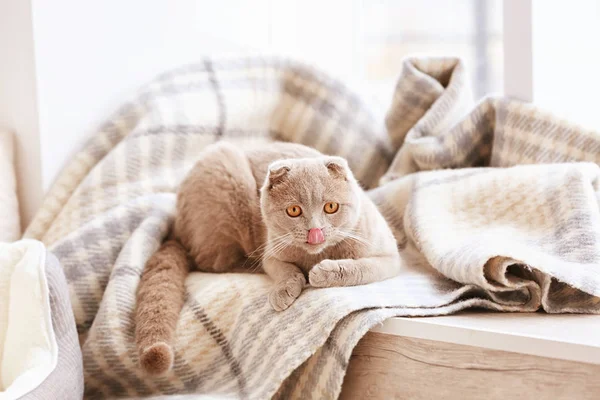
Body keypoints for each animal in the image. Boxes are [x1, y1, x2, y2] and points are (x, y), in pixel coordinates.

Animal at [134, 141, 400, 376]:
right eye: (294, 210)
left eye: (331, 207)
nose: (315, 231)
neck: (317, 255)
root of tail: (176, 227)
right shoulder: (272, 252)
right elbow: (284, 269)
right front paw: (286, 289)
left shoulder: (390, 259)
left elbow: (360, 268)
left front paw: (323, 273)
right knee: (214, 262)